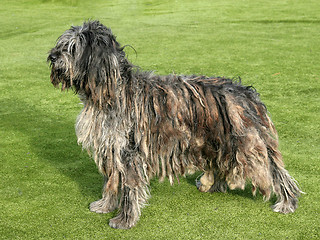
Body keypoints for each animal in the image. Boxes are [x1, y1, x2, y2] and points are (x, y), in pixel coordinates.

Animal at [47, 20, 302, 229]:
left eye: (72, 47)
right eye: (62, 44)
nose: (51, 56)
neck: (111, 93)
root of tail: (246, 92)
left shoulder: (128, 152)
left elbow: (129, 187)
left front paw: (125, 220)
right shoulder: (110, 149)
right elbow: (111, 182)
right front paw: (105, 205)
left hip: (245, 143)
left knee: (274, 171)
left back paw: (287, 202)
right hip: (218, 140)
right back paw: (212, 184)